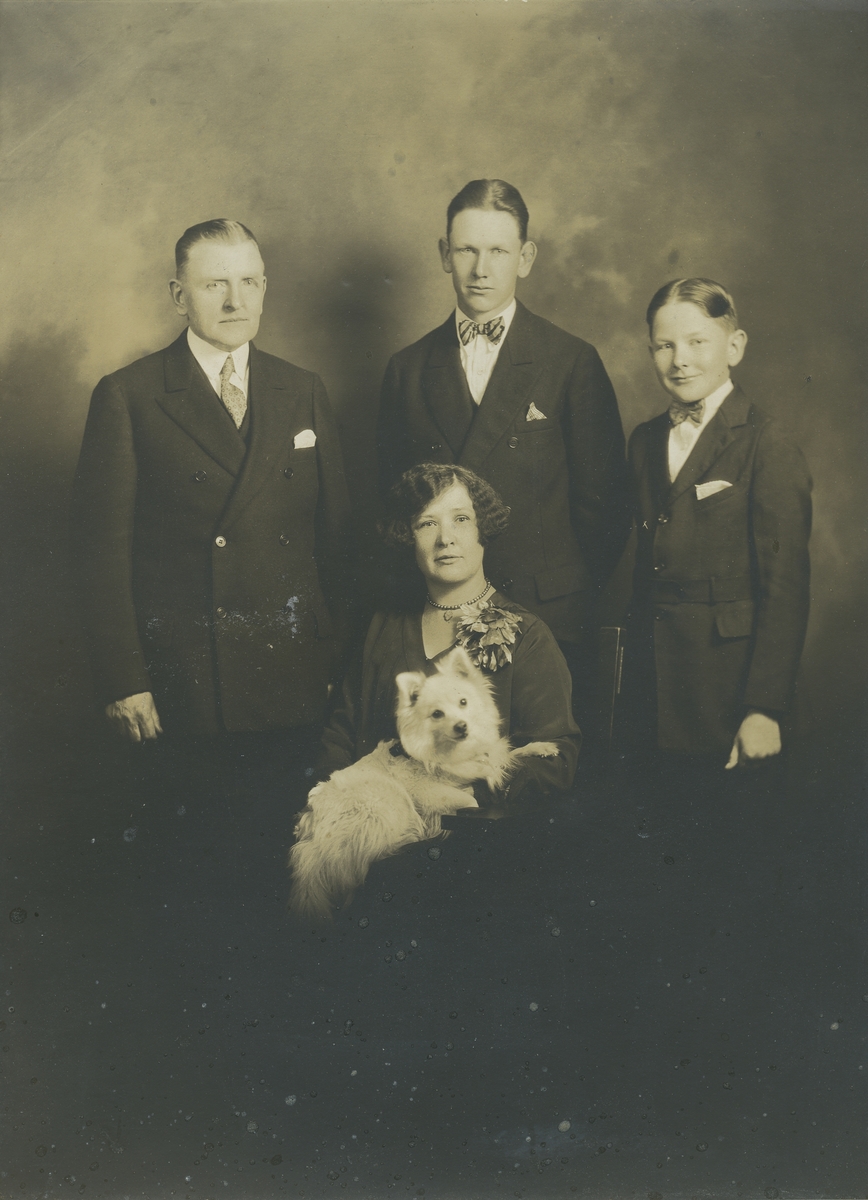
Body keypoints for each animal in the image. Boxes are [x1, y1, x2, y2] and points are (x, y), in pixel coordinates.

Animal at [288, 646, 560, 920]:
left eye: (463, 702)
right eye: (437, 714)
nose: (461, 726)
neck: (453, 753)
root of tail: (309, 836)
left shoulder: (486, 759)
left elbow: (505, 756)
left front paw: (540, 748)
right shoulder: (429, 793)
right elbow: (469, 799)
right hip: (387, 802)